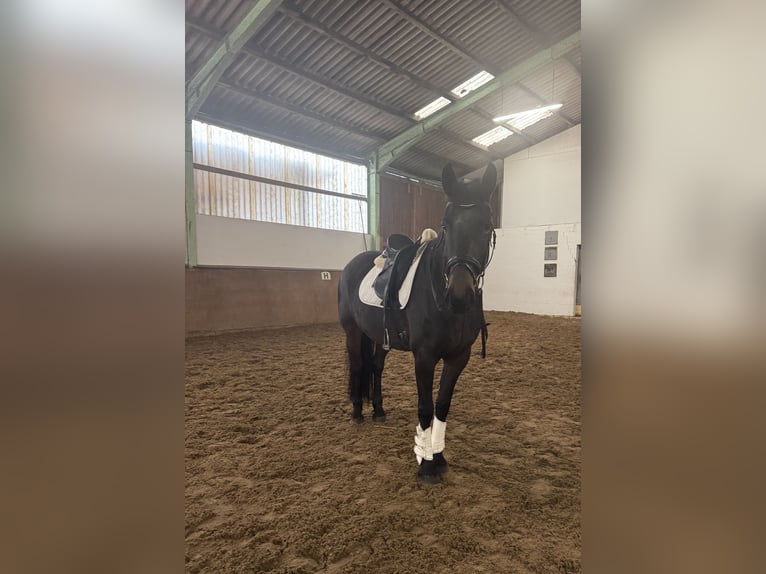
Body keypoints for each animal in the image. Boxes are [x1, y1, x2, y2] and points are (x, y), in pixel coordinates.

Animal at [338, 162, 497, 484]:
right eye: (446, 225)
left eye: (486, 226)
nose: (459, 295)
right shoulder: (424, 357)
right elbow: (425, 407)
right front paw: (425, 466)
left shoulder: (458, 357)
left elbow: (442, 405)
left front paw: (439, 457)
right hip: (352, 331)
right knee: (359, 366)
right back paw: (358, 413)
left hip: (380, 336)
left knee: (376, 367)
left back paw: (378, 410)